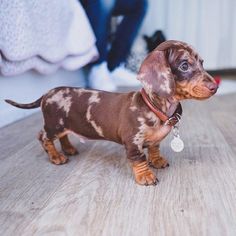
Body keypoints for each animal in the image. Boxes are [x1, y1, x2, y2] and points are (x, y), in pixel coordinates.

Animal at [5, 40, 218, 186]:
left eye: (202, 62)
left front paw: (157, 161)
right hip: (54, 125)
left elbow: (154, 149)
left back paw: (69, 149)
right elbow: (139, 160)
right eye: (184, 65)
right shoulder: (133, 143)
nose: (215, 86)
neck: (154, 108)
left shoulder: (154, 140)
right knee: (43, 137)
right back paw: (56, 157)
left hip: (64, 126)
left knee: (64, 136)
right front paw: (146, 176)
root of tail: (46, 94)